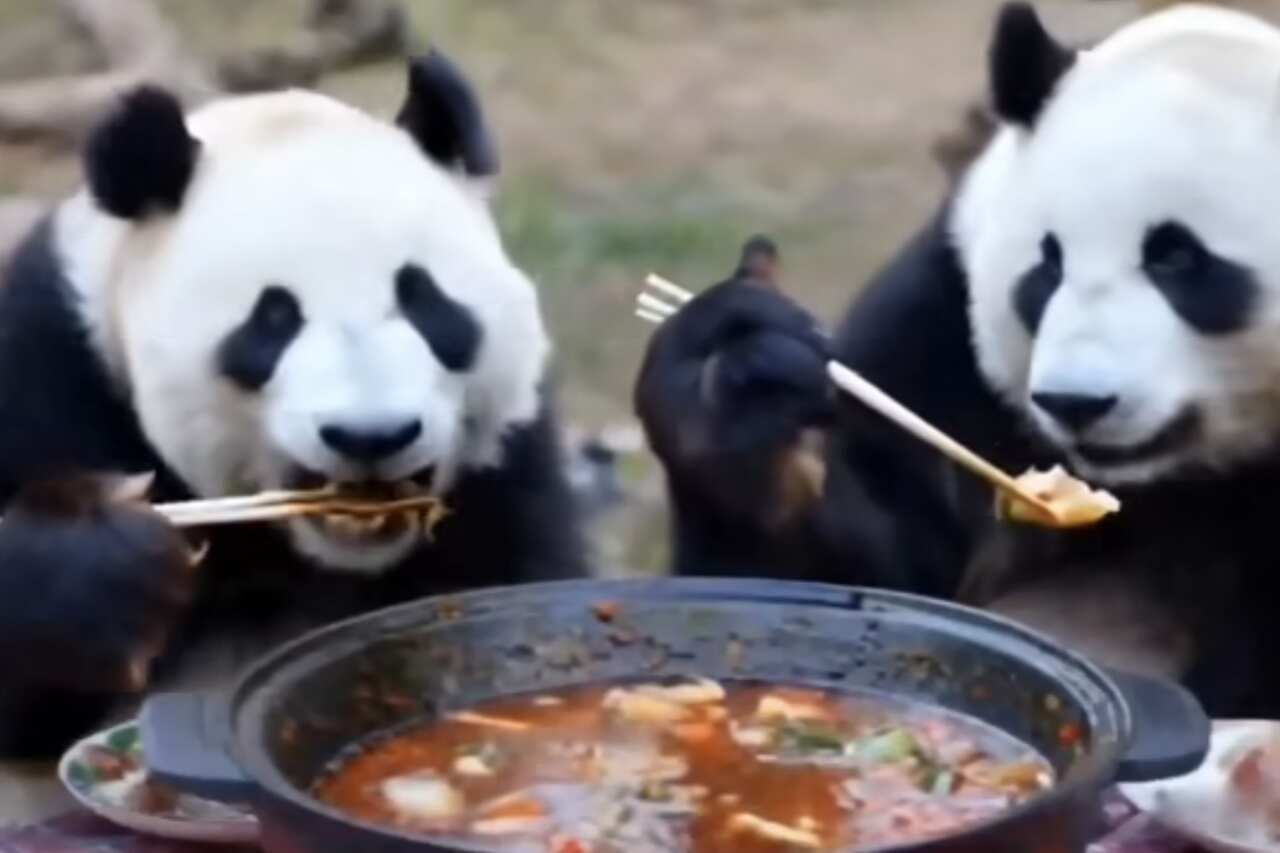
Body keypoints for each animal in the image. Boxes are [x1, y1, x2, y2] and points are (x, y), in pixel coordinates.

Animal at [0, 51, 586, 758]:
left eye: (424, 300)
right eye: (273, 319)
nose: (372, 436)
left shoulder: (507, 466)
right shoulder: (54, 377)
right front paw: (107, 570)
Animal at [634, 1, 1280, 717]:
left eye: (1179, 258)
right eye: (1046, 264)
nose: (1075, 402)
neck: (1166, 481)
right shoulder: (938, 339)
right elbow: (860, 575)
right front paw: (741, 376)